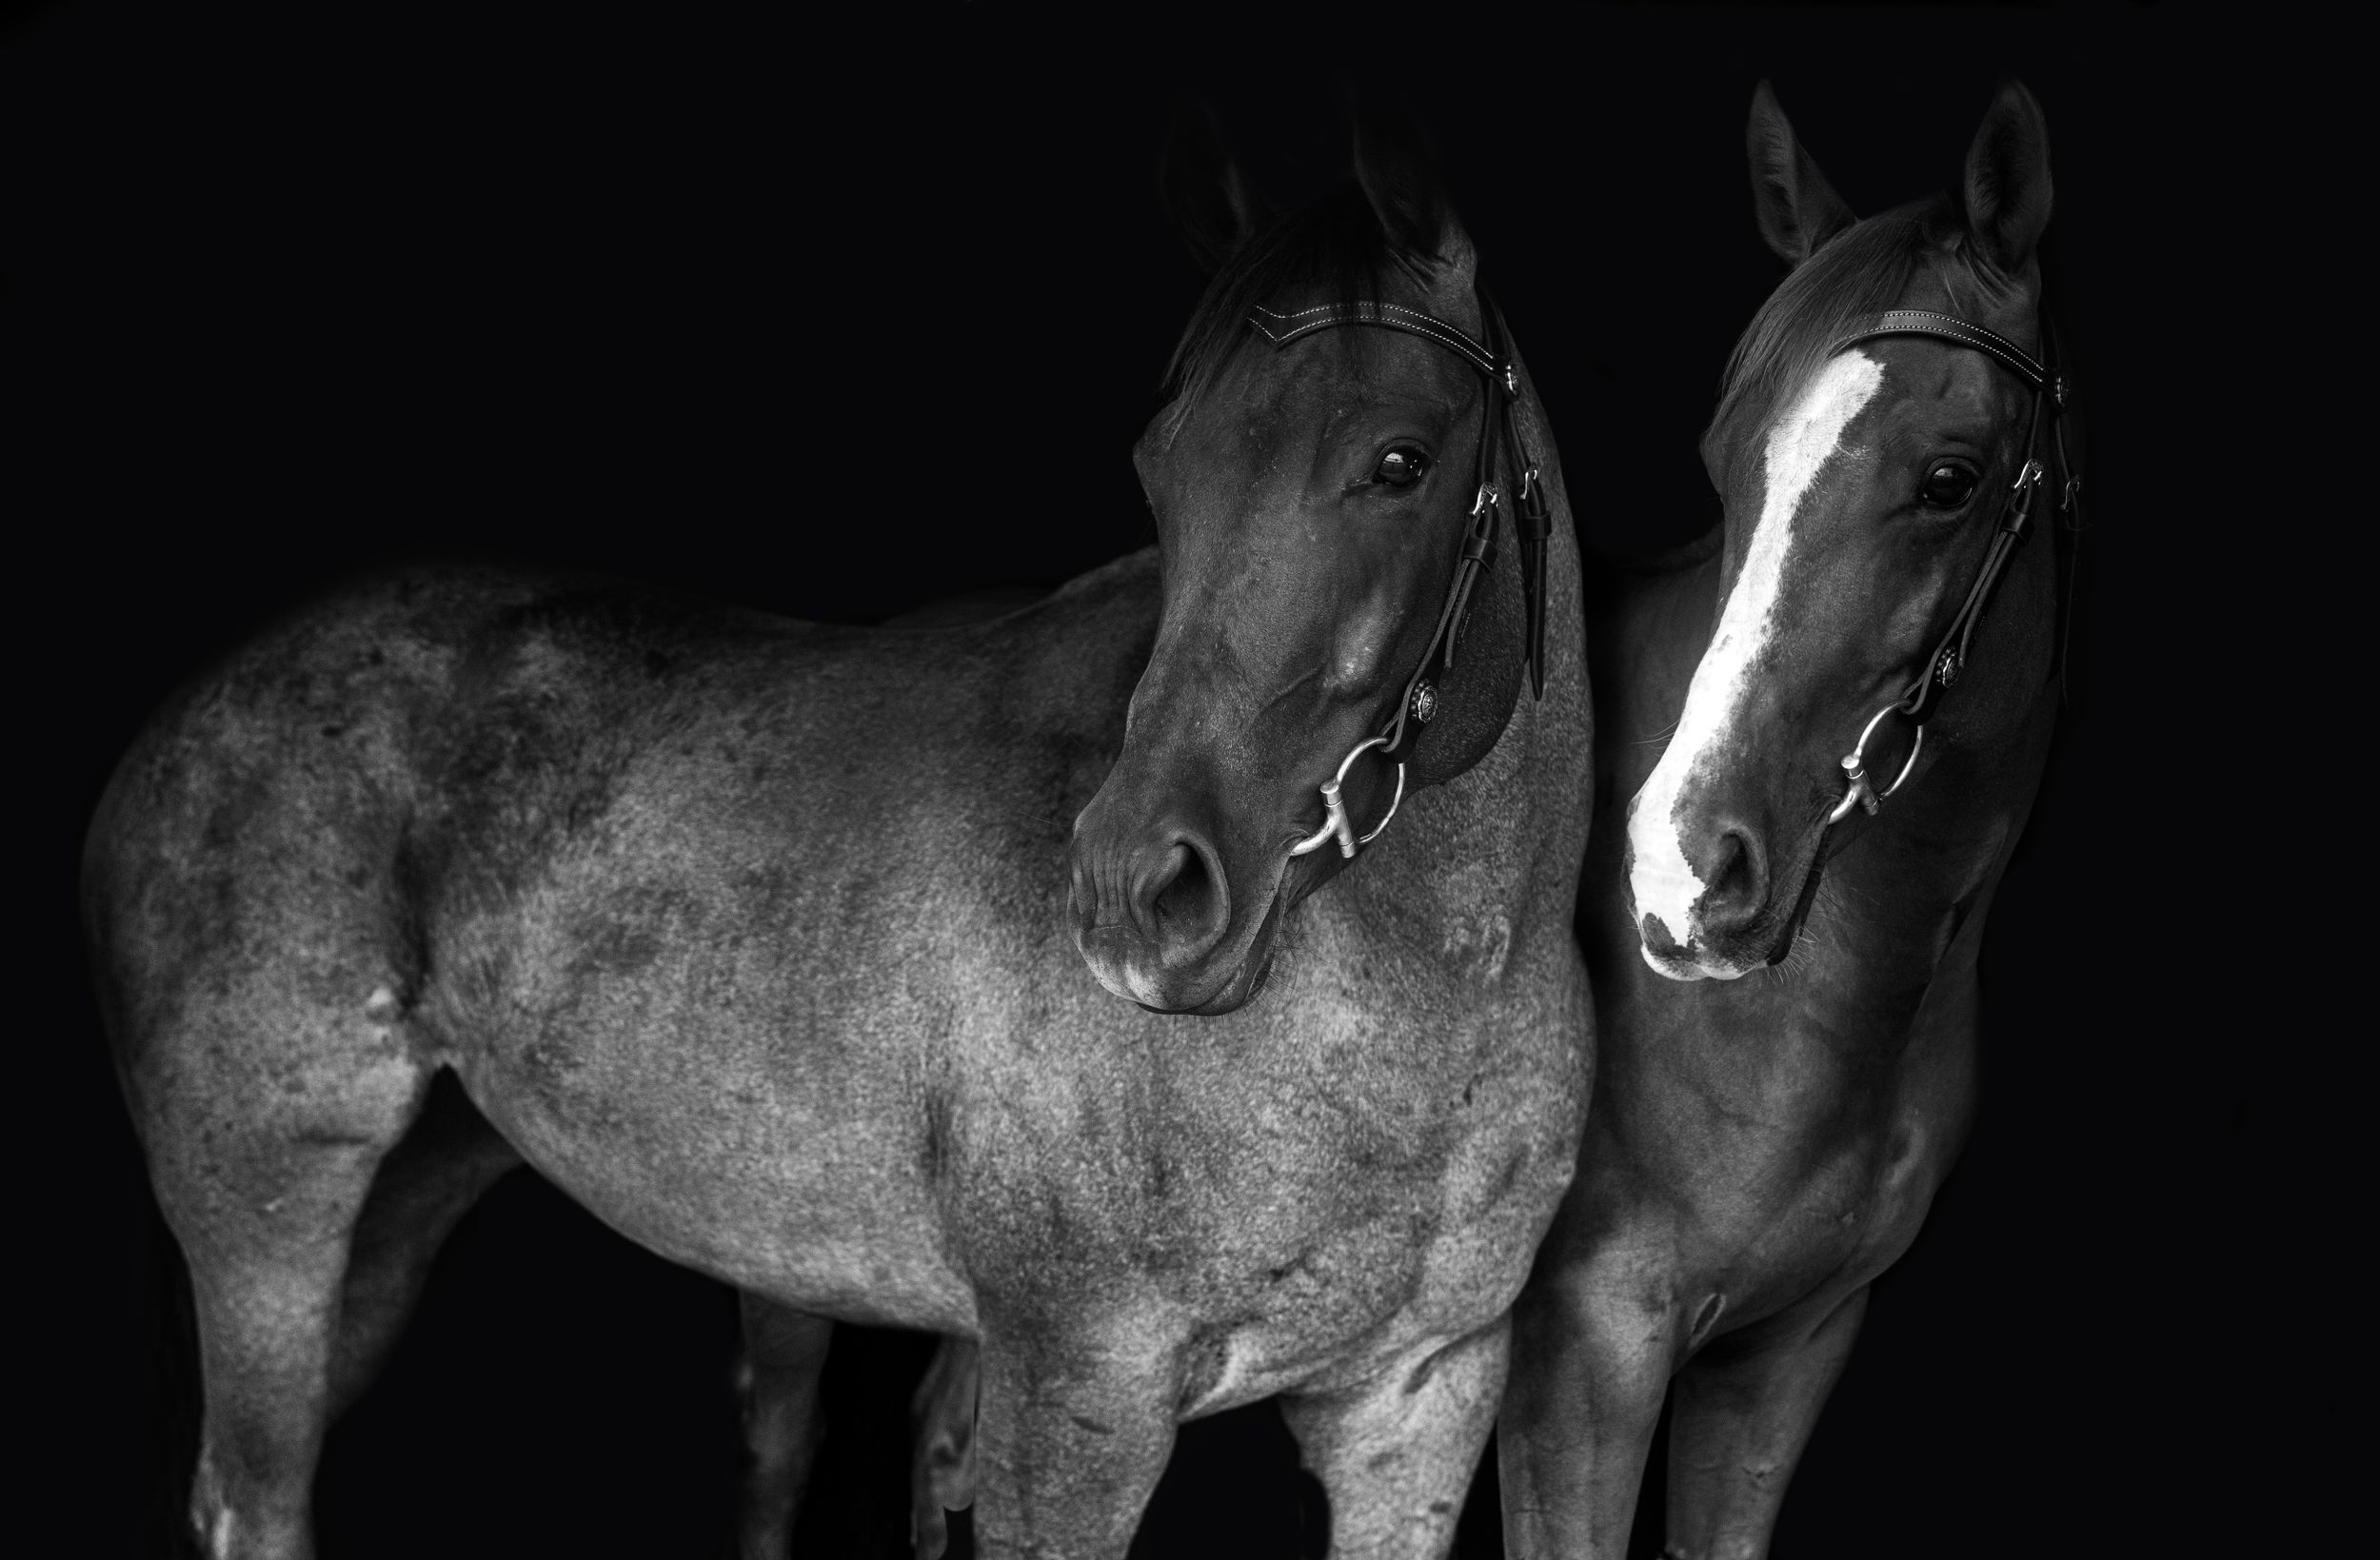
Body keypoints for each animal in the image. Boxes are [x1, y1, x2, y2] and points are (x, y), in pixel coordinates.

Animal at [82, 102, 1595, 1560]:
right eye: (1161, 466)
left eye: (1399, 462)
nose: (1136, 891)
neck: (1437, 991)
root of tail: (180, 722)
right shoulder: (1078, 1405)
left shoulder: (1421, 1402)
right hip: (271, 1214)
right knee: (256, 1498)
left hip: (398, 1211)